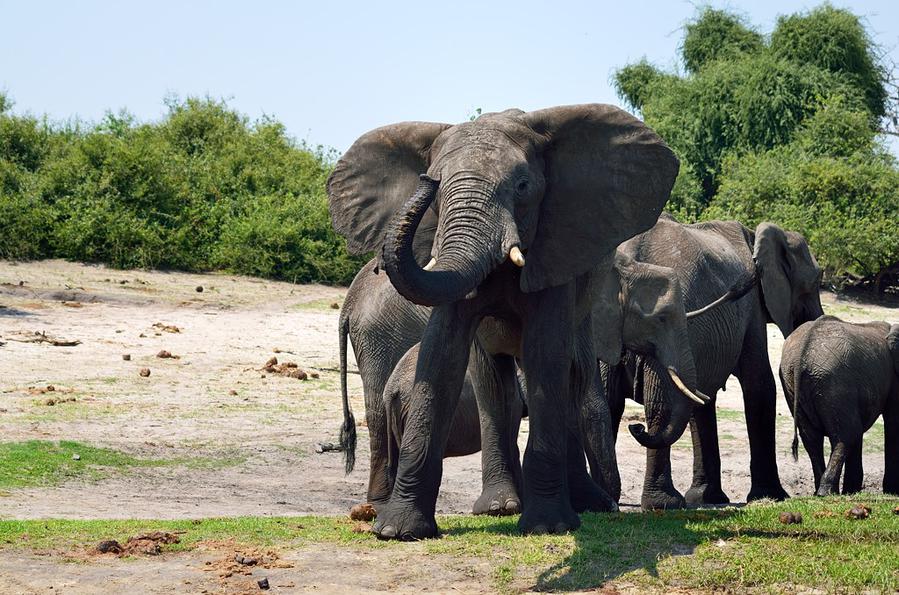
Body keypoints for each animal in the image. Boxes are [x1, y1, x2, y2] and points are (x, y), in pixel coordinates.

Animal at [330, 106, 684, 540]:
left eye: (523, 186)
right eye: (437, 188)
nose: (426, 181)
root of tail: (349, 304)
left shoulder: (556, 250)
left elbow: (545, 354)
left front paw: (548, 526)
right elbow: (442, 354)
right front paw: (398, 531)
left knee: (572, 375)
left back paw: (585, 506)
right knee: (492, 382)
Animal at [608, 217, 828, 510]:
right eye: (815, 281)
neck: (754, 235)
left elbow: (704, 398)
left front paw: (707, 498)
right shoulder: (752, 308)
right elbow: (760, 385)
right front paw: (773, 496)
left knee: (611, 403)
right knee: (658, 405)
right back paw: (663, 503)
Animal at [780, 316, 899, 498]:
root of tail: (801, 355)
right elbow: (893, 421)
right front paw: (892, 492)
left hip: (792, 383)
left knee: (813, 439)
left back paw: (822, 492)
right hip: (835, 381)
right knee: (847, 434)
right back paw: (827, 492)